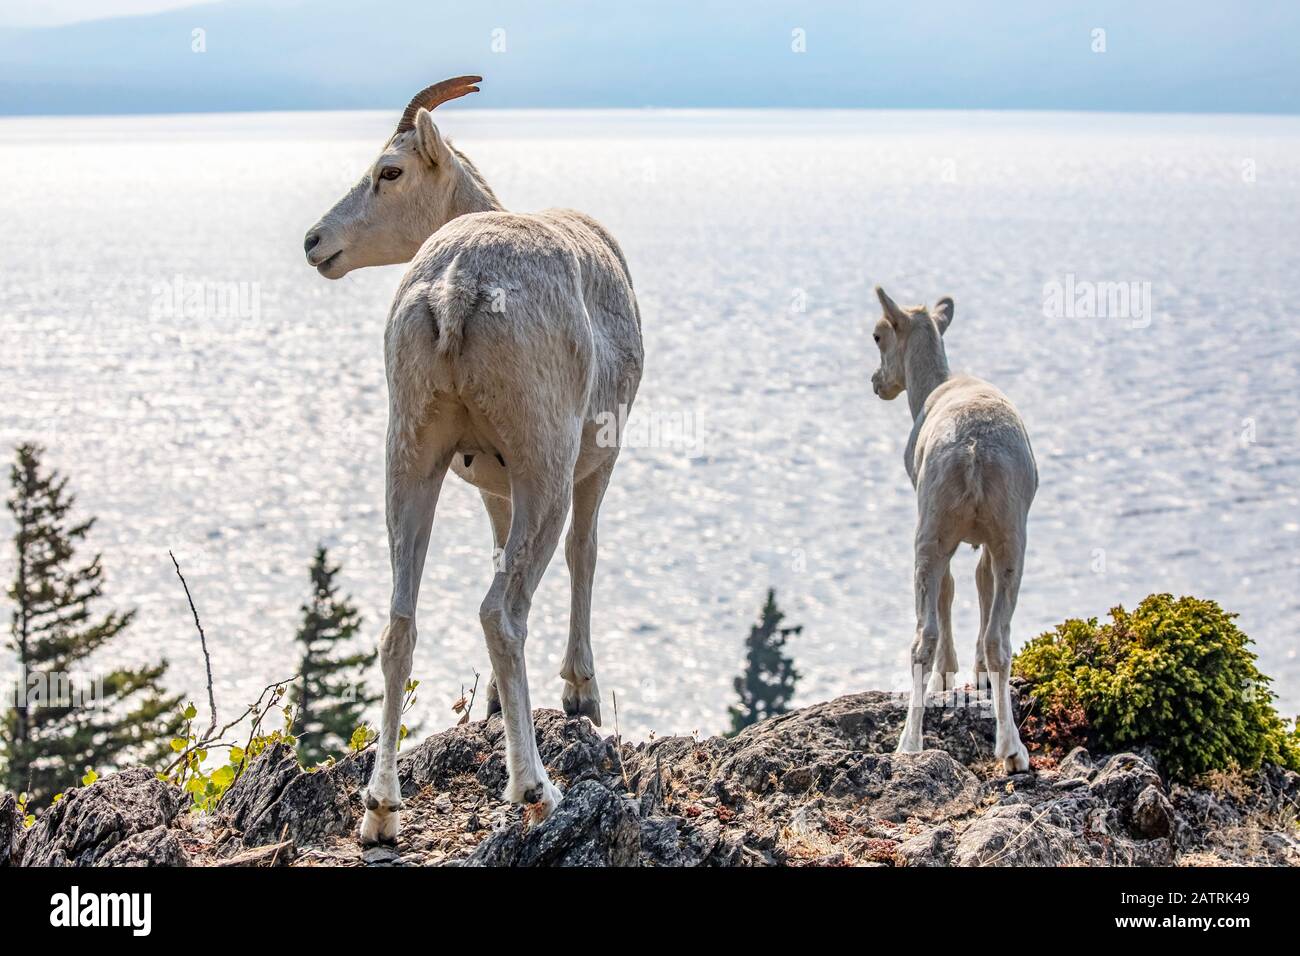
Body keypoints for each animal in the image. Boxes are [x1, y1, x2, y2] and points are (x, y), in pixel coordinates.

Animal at [304, 77, 644, 843]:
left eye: (389, 171)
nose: (314, 242)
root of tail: (456, 286)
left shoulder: (491, 481)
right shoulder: (592, 464)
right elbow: (585, 554)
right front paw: (582, 698)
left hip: (409, 454)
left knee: (399, 626)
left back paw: (380, 811)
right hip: (545, 466)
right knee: (502, 612)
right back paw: (535, 788)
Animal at [869, 286, 1036, 773]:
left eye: (878, 336)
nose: (876, 382)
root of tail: (974, 452)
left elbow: (951, 591)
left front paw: (948, 677)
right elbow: (979, 587)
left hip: (932, 529)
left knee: (923, 634)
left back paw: (909, 745)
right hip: (1010, 534)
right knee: (1001, 638)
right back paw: (1012, 752)